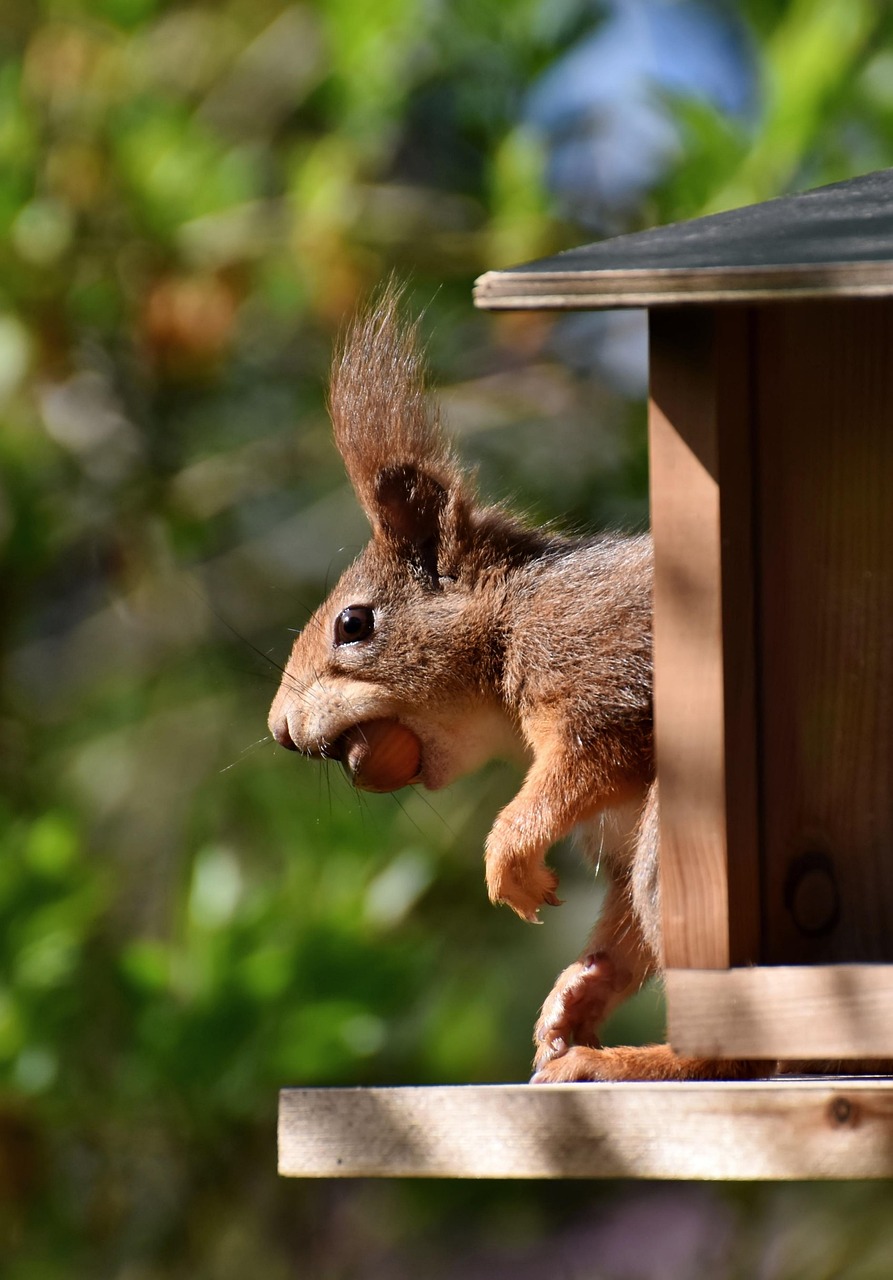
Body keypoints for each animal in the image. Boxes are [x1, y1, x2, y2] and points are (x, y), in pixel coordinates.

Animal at [268, 287, 760, 1083]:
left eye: (353, 623)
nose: (279, 730)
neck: (510, 620)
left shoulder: (601, 676)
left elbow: (588, 759)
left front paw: (507, 858)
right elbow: (619, 929)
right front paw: (575, 992)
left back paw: (624, 1064)